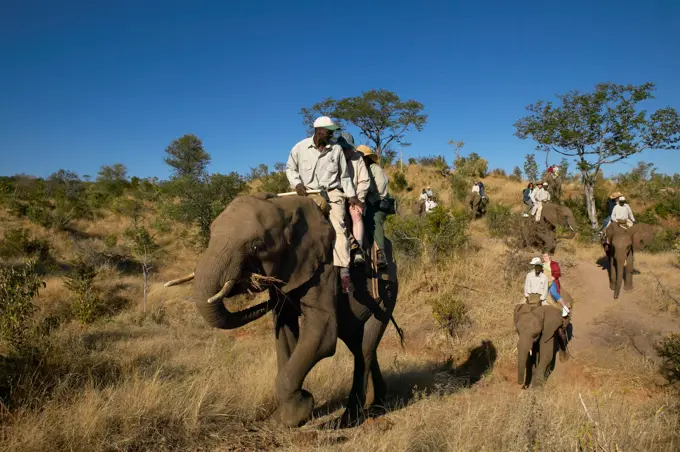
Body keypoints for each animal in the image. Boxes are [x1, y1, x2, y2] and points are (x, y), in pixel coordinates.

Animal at [164, 193, 398, 428]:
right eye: (211, 235)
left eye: (257, 247)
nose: (257, 282)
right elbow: (284, 329)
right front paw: (280, 419)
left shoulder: (325, 267)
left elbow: (323, 335)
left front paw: (297, 411)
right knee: (356, 342)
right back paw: (377, 404)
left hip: (388, 289)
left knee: (364, 347)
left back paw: (349, 419)